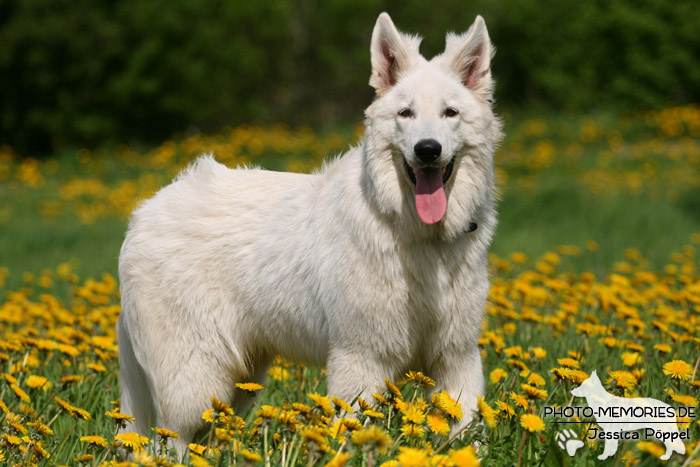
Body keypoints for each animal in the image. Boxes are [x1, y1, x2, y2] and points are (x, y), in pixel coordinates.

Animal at [119, 11, 504, 454]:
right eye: (406, 113)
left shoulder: (456, 357)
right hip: (193, 383)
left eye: (450, 113)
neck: (418, 236)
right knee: (164, 445)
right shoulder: (361, 359)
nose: (427, 150)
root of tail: (142, 213)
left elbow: (467, 433)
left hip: (237, 380)